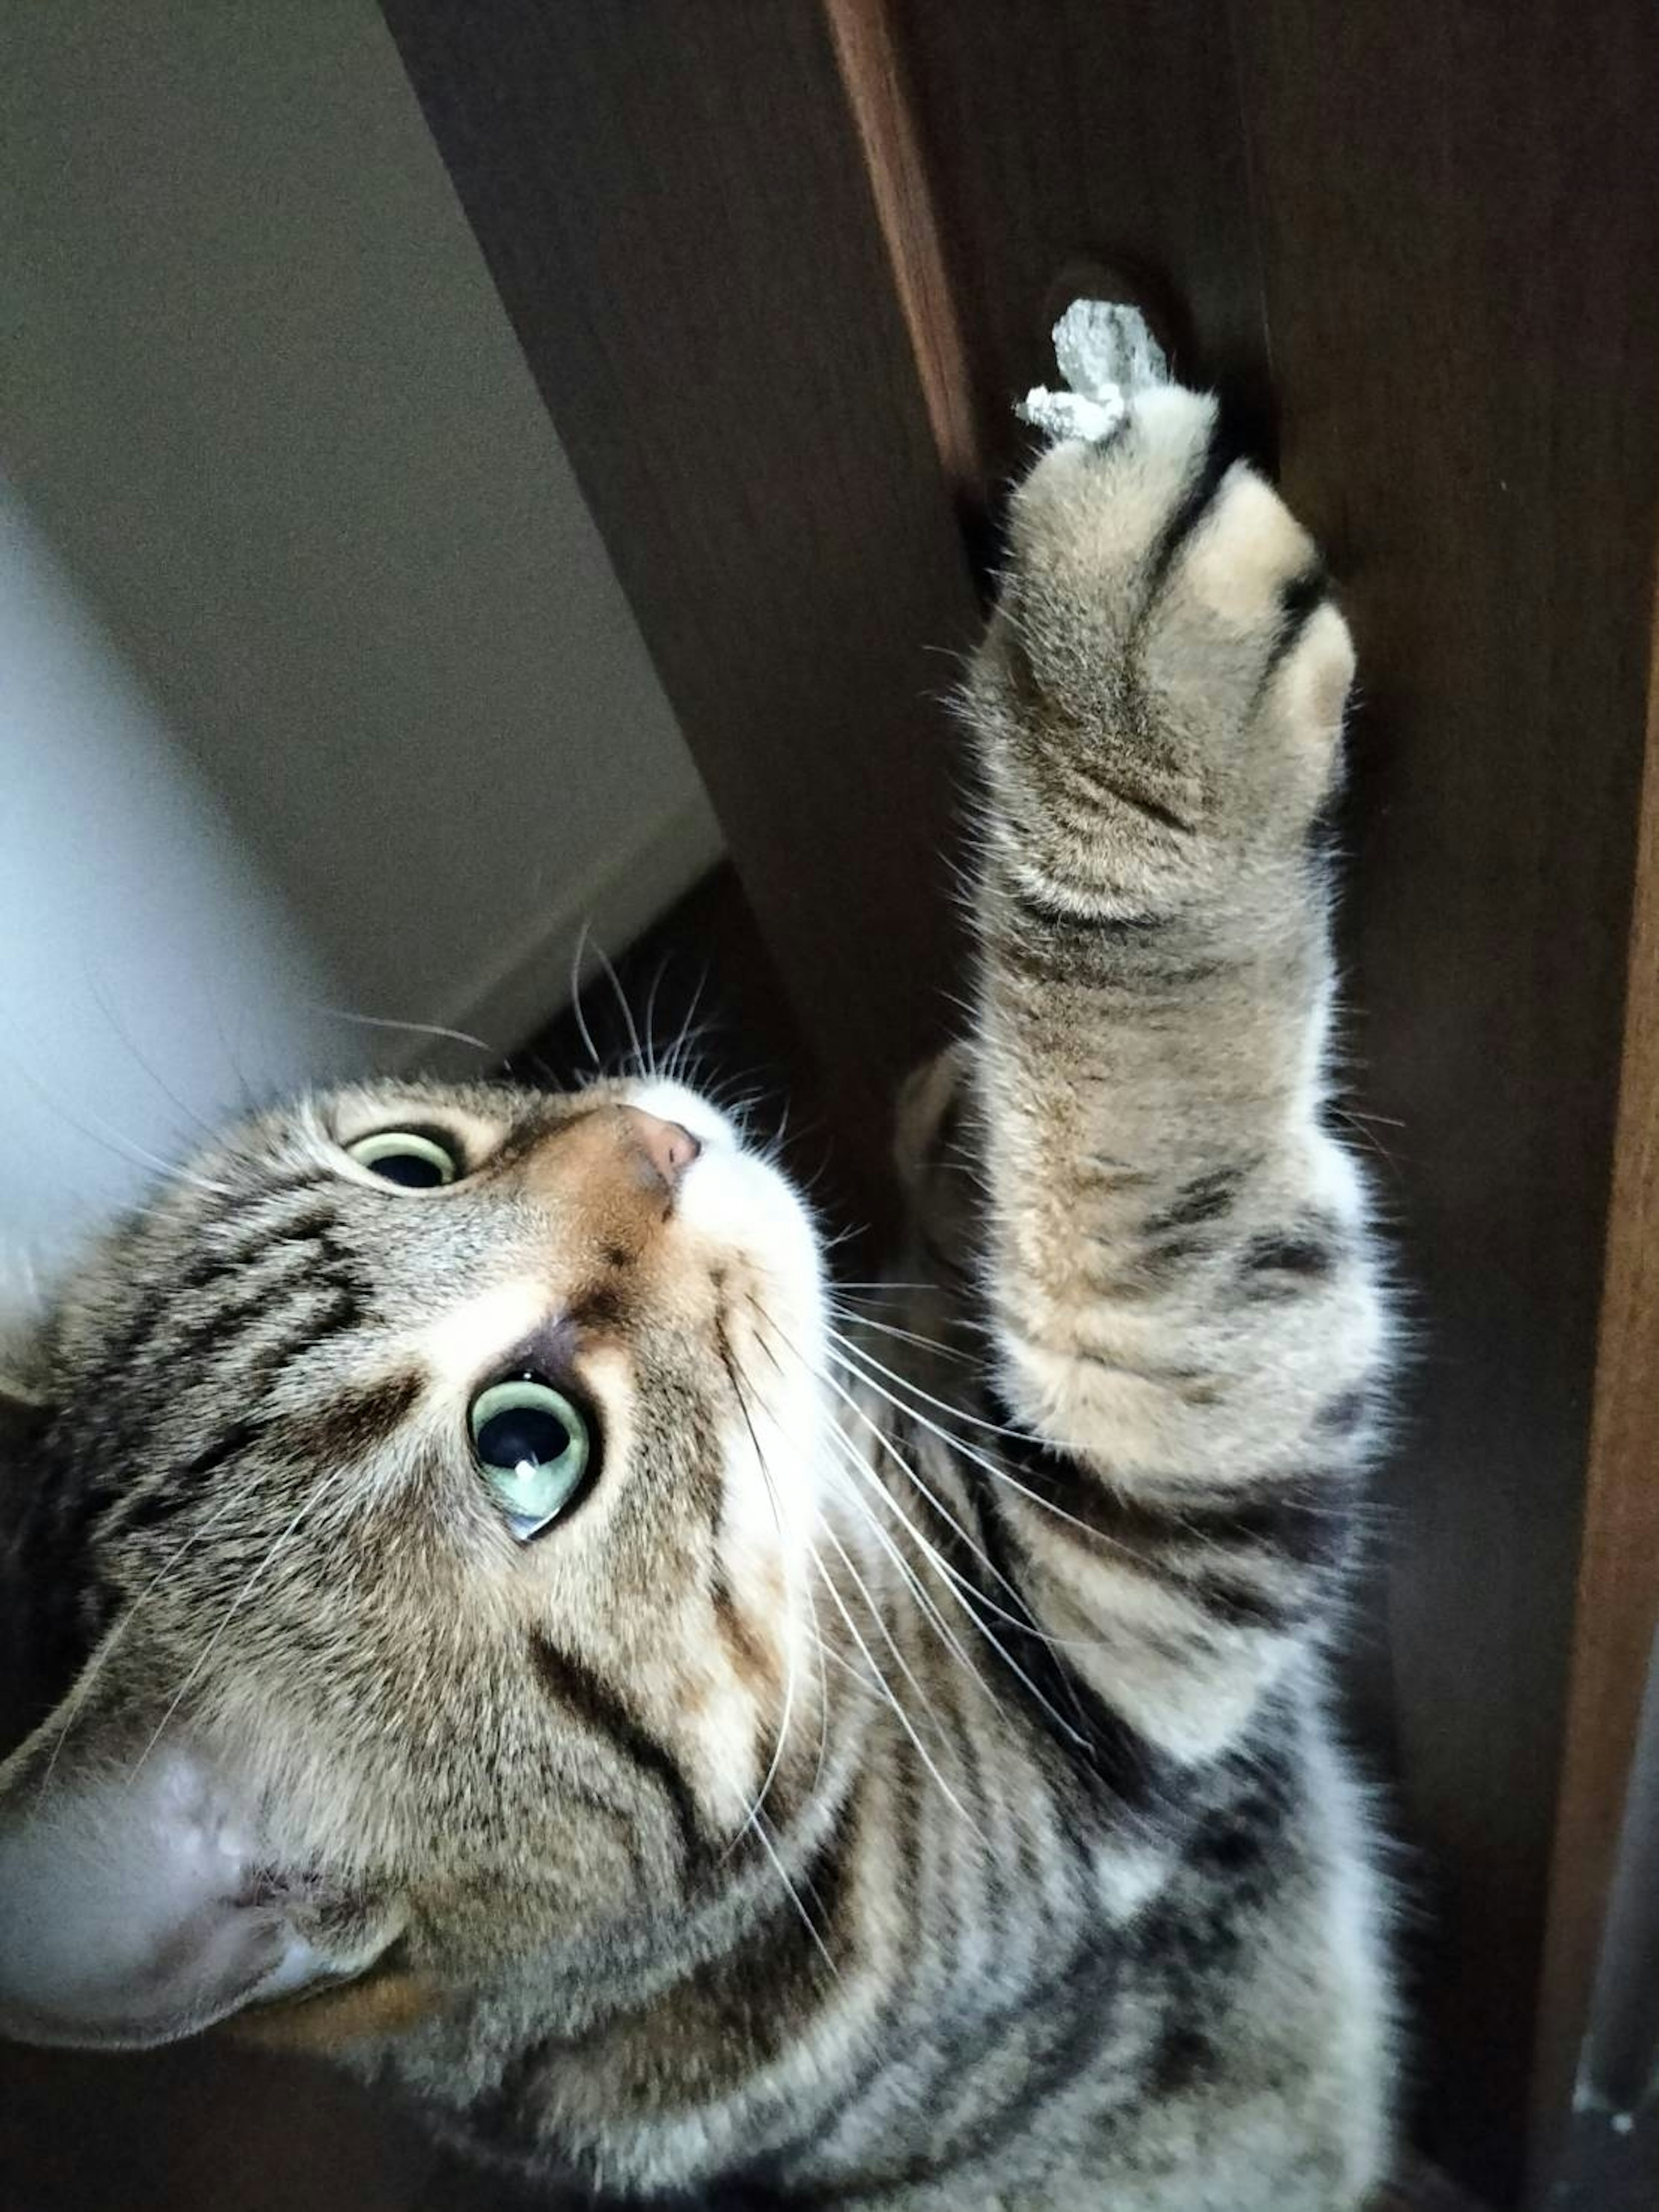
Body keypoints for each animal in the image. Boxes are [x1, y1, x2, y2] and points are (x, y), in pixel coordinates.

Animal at [0, 371, 1398, 2203]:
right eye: (530, 1444)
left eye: (409, 1159)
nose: (656, 1142)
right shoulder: (1125, 1602)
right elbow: (1136, 1167)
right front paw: (1128, 656)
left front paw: (954, 1132)